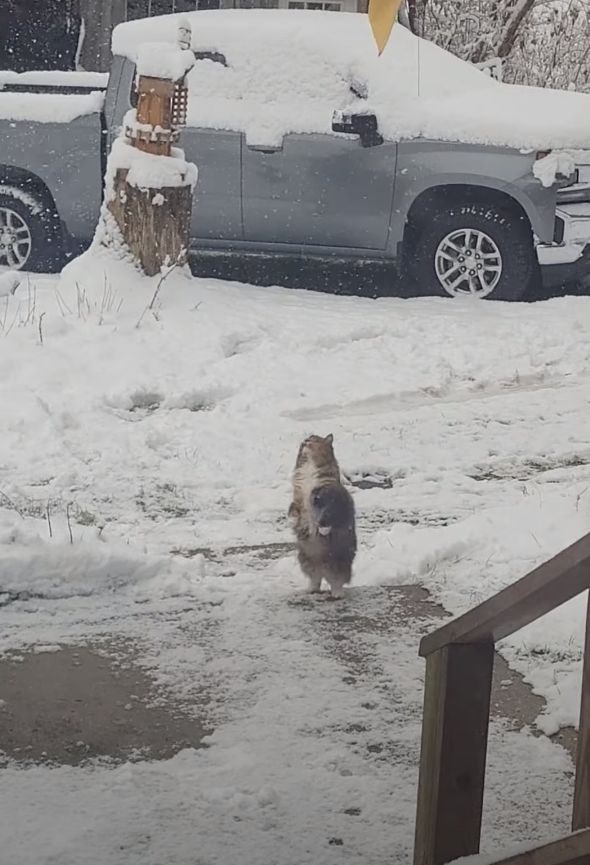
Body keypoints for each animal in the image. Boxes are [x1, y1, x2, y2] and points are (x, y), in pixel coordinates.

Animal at [290, 436, 358, 596]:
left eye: (313, 439)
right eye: (306, 438)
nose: (305, 441)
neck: (310, 468)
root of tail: (323, 569)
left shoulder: (328, 494)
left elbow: (325, 510)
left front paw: (322, 527)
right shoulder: (298, 496)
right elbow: (295, 508)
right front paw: (293, 518)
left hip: (338, 563)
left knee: (337, 582)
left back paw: (337, 594)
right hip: (305, 560)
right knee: (316, 579)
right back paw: (312, 589)